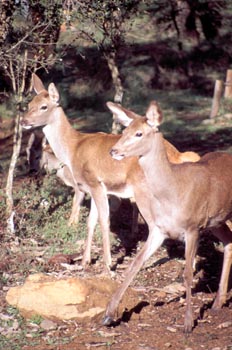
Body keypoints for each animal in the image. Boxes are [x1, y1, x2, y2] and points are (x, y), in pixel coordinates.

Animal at [20, 73, 200, 270]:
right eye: (29, 104)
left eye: (43, 106)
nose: (23, 121)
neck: (73, 149)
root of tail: (178, 155)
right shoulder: (92, 188)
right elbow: (91, 221)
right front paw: (85, 260)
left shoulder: (95, 183)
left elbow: (104, 220)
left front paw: (107, 263)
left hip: (145, 190)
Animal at [104, 102, 232, 334]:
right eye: (124, 130)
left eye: (139, 133)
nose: (114, 151)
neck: (172, 192)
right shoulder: (158, 229)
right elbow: (135, 263)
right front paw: (109, 314)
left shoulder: (192, 227)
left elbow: (188, 274)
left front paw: (188, 323)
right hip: (216, 220)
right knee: (229, 241)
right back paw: (218, 302)